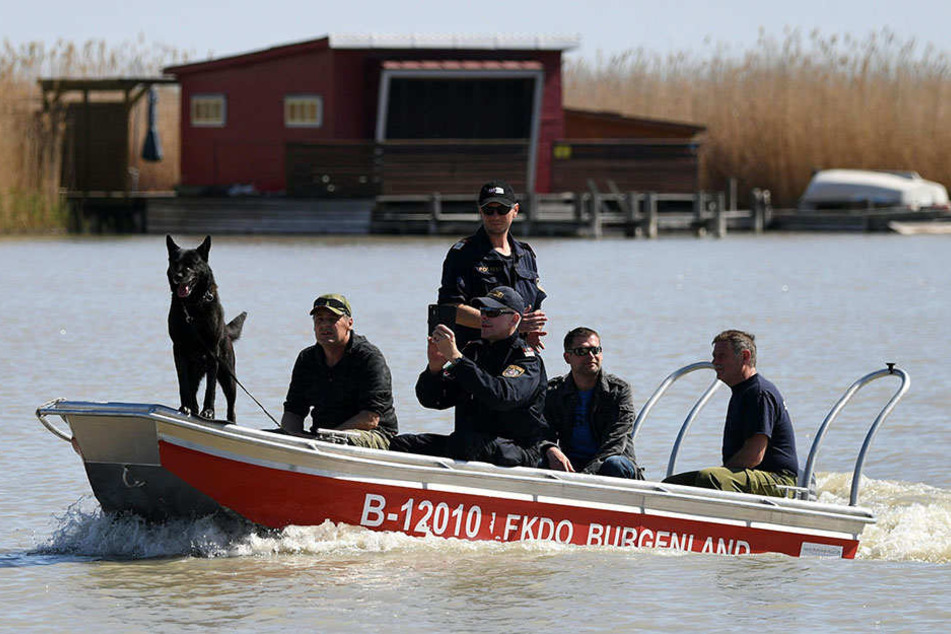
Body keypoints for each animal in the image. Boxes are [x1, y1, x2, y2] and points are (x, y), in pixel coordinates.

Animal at [167, 232, 249, 420]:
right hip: (195, 371)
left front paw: (209, 411)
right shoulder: (179, 350)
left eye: (191, 264)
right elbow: (183, 384)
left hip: (228, 377)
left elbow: (210, 387)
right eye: (175, 263)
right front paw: (186, 407)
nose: (178, 276)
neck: (193, 305)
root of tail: (226, 331)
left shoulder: (212, 351)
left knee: (231, 409)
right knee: (191, 389)